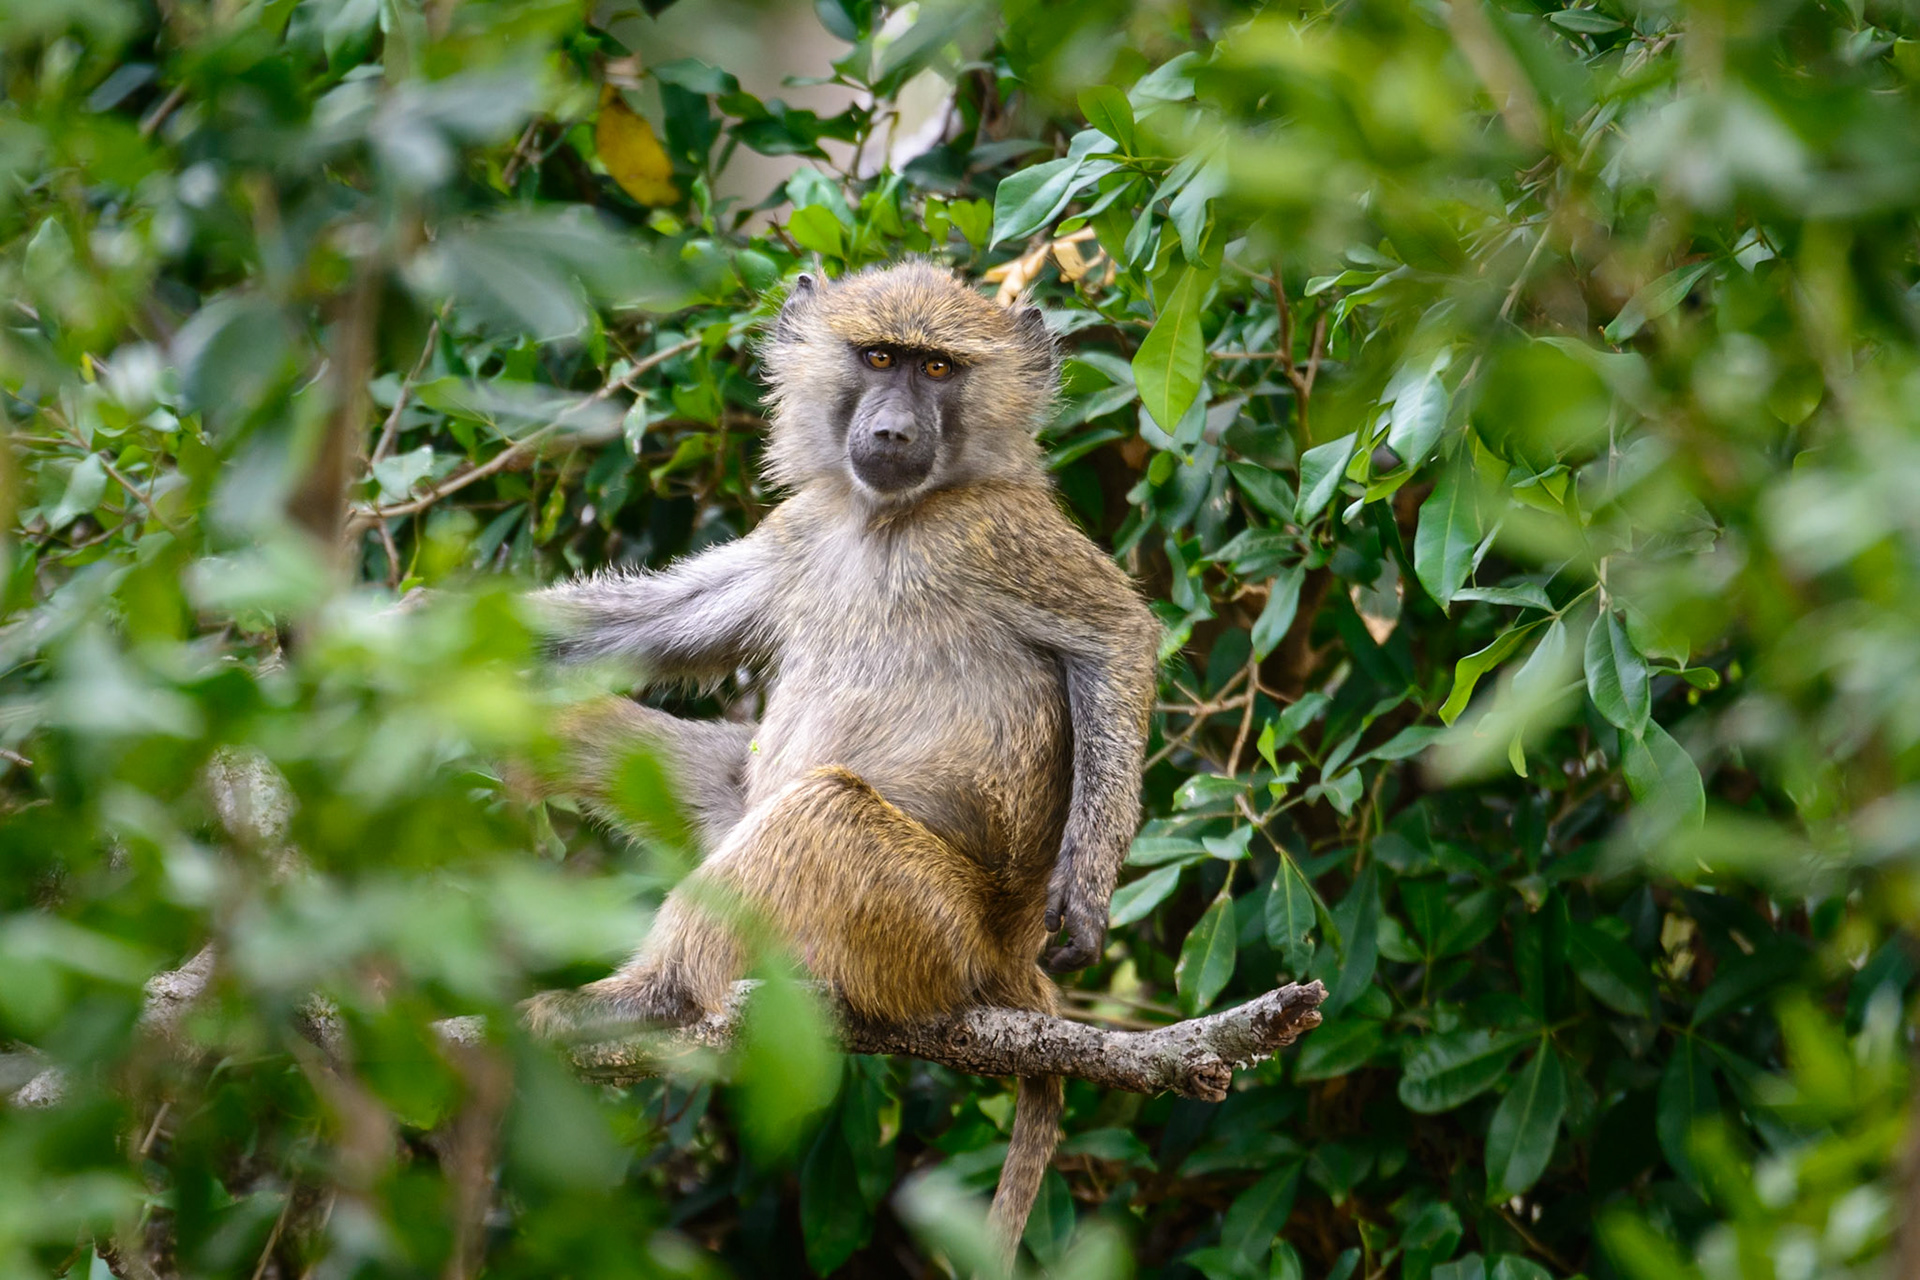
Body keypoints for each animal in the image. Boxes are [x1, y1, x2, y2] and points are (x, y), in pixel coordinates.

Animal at [525, 259, 1160, 1261]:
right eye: (877, 357)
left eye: (938, 367)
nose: (892, 430)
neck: (888, 518)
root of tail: (1001, 956)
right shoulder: (801, 529)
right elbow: (660, 625)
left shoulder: (1000, 537)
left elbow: (1115, 641)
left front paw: (1086, 894)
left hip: (922, 927)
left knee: (821, 811)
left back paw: (654, 999)